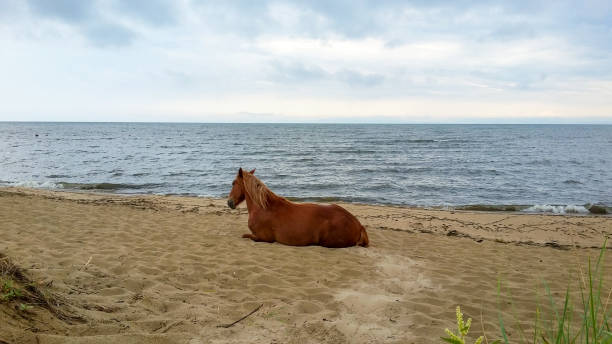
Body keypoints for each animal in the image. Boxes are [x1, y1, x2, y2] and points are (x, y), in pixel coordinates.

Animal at [226, 169, 366, 247]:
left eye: (233, 183)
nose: (229, 202)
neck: (263, 208)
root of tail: (358, 225)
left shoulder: (264, 238)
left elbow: (245, 235)